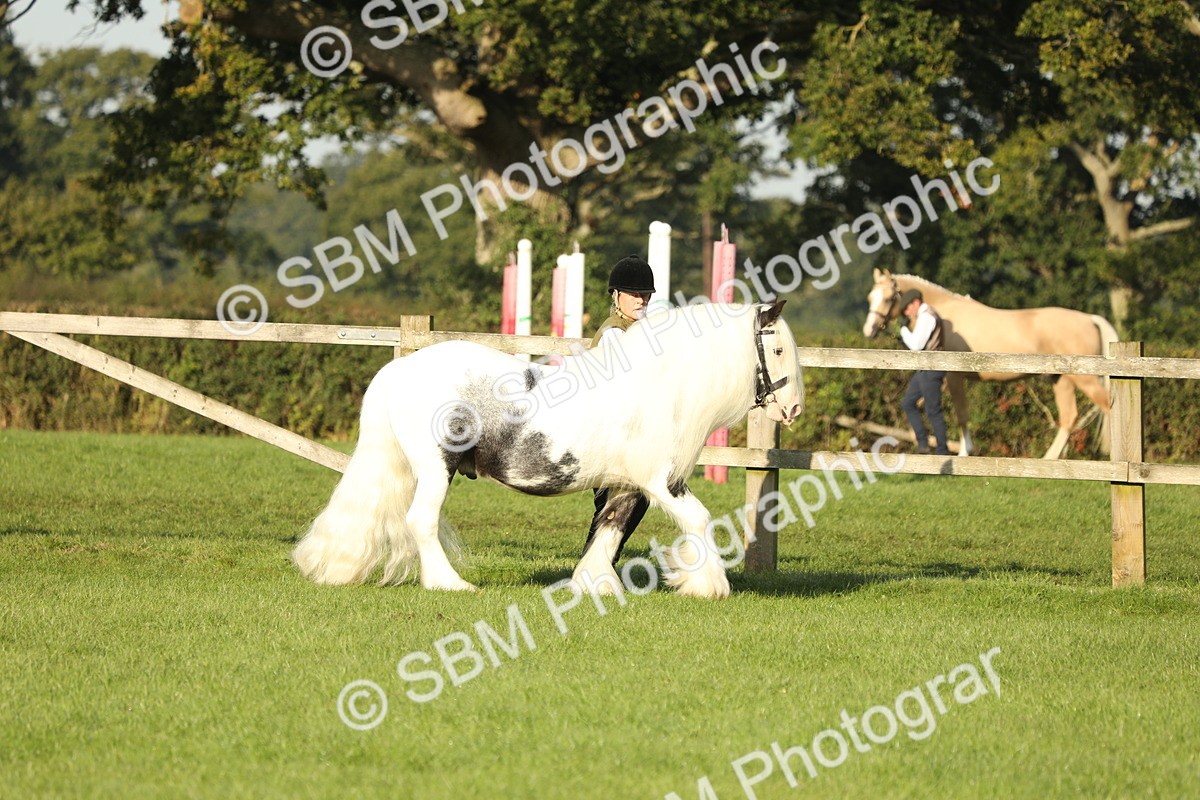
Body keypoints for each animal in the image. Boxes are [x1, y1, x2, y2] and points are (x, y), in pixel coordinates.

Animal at [292, 301, 804, 599]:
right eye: (777, 350)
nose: (795, 408)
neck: (658, 385)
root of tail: (401, 370)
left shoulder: (626, 485)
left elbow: (609, 530)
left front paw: (593, 585)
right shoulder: (662, 480)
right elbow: (699, 520)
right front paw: (709, 585)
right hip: (437, 466)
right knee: (421, 521)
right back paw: (450, 584)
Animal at [862, 269, 1119, 459]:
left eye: (888, 298)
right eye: (870, 297)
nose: (869, 330)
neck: (944, 314)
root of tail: (1090, 319)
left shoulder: (954, 377)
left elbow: (961, 414)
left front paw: (964, 452)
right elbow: (918, 407)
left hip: (1084, 380)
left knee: (1107, 407)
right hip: (1062, 381)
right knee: (1069, 418)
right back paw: (1050, 460)